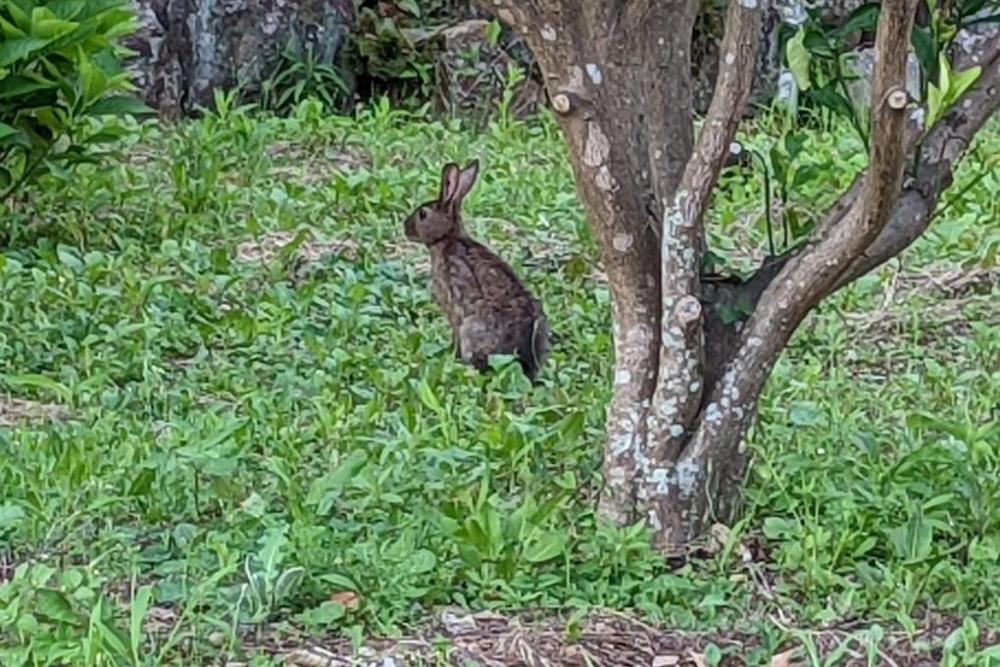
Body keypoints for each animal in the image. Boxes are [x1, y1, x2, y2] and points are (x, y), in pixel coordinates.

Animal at [402, 159, 552, 384]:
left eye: (422, 214)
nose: (405, 228)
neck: (447, 238)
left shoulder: (453, 310)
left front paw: (451, 355)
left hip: (472, 329)